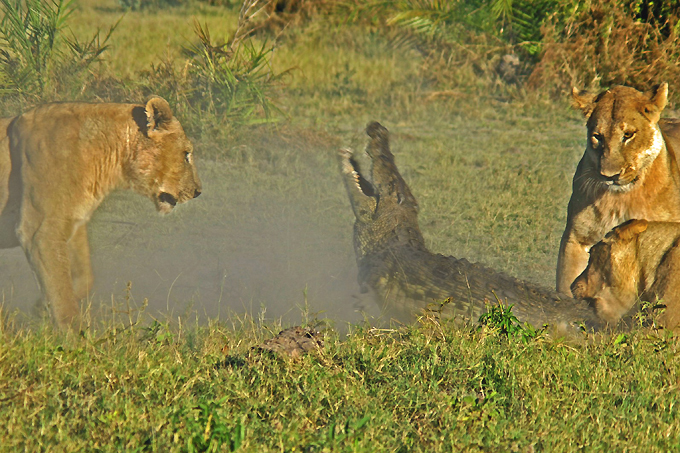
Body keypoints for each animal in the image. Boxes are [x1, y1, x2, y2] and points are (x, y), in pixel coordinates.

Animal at [0, 97, 202, 328]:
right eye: (186, 155)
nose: (198, 191)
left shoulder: (74, 223)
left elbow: (83, 277)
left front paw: (41, 307)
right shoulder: (39, 231)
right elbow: (62, 296)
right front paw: (73, 336)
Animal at [556, 83, 680, 296]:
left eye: (628, 135)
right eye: (597, 137)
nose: (609, 176)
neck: (621, 199)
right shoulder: (577, 238)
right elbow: (566, 284)